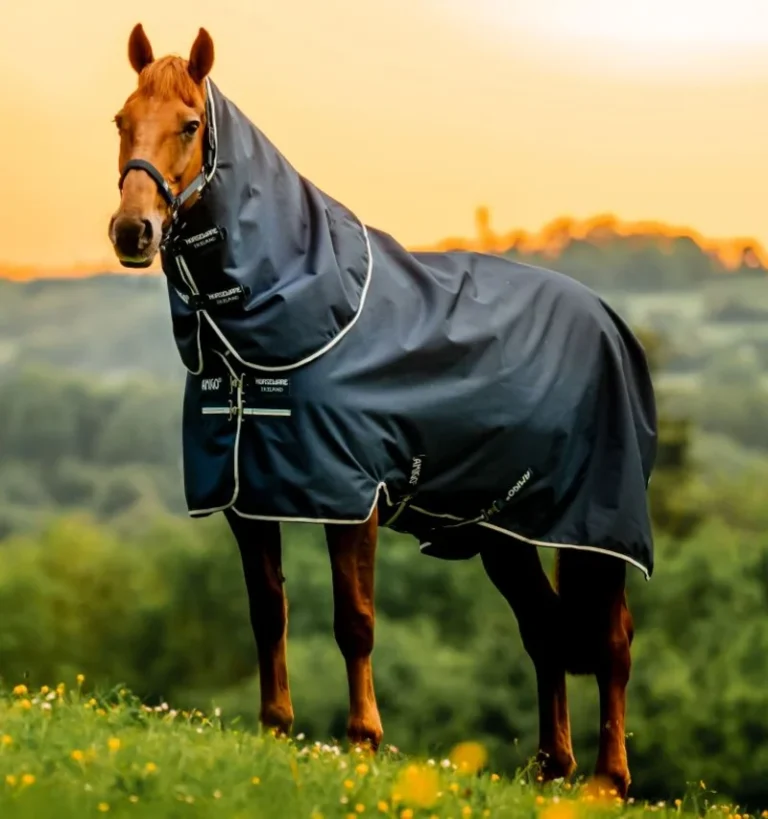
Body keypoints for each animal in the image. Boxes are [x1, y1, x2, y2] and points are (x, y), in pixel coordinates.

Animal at [108, 23, 657, 797]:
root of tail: (610, 322)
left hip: (597, 527)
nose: (133, 232)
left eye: (189, 125)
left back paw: (608, 779)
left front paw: (363, 741)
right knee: (546, 629)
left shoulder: (350, 496)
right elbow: (267, 612)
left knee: (612, 639)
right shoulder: (247, 497)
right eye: (121, 121)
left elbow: (355, 620)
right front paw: (275, 729)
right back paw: (552, 768)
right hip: (505, 531)